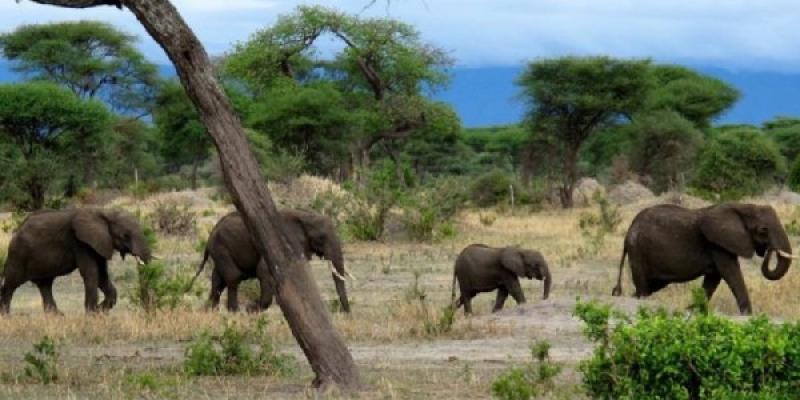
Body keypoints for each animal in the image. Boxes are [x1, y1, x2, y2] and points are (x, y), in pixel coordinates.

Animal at [0, 208, 152, 314]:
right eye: (125, 235)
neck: (105, 213)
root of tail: (17, 230)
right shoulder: (80, 243)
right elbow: (91, 273)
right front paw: (92, 314)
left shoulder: (99, 244)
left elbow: (102, 275)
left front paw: (100, 311)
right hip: (18, 254)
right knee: (11, 284)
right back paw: (6, 316)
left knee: (45, 285)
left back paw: (57, 317)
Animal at [192, 208, 353, 313]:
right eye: (321, 237)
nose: (345, 312)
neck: (303, 215)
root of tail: (211, 233)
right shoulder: (275, 243)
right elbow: (263, 271)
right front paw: (251, 309)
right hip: (220, 247)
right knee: (233, 277)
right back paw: (234, 312)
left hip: (220, 250)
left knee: (218, 279)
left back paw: (209, 311)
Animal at [612, 203, 796, 314]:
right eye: (763, 230)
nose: (770, 250)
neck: (742, 206)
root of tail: (628, 233)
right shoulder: (718, 244)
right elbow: (731, 273)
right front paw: (748, 315)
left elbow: (713, 279)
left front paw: (692, 309)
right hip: (638, 250)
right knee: (643, 284)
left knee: (649, 285)